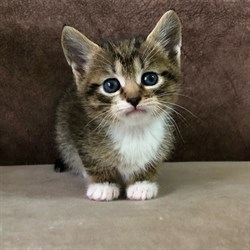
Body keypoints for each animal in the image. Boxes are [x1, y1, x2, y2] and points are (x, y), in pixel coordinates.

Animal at [54, 10, 182, 201]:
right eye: (111, 85)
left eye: (150, 78)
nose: (134, 98)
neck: (133, 131)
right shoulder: (78, 127)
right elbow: (91, 158)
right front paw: (103, 185)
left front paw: (141, 183)